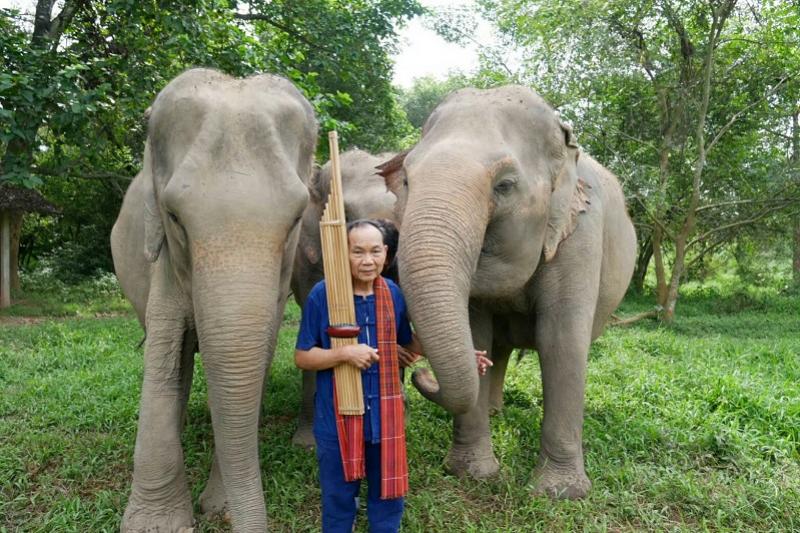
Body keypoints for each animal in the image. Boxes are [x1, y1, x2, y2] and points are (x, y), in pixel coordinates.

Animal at [110, 68, 317, 531]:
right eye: (173, 217)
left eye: (297, 218)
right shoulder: (164, 260)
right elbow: (165, 351)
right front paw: (156, 524)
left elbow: (256, 358)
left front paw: (218, 507)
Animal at [376, 85, 636, 499]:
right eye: (406, 182)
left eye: (505, 185)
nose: (420, 374)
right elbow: (476, 330)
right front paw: (471, 474)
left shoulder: (580, 233)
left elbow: (560, 341)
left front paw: (559, 494)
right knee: (499, 346)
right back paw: (495, 411)